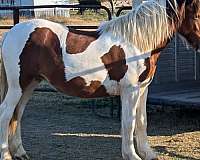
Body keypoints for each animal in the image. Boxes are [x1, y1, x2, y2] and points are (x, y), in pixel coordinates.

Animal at [0, 0, 200, 160]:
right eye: (197, 14)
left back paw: (20, 153)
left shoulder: (143, 89)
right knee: (6, 113)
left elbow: (142, 121)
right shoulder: (130, 90)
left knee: (17, 114)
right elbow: (129, 122)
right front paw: (131, 155)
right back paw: (6, 155)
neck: (136, 43)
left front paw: (148, 154)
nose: (199, 46)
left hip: (30, 84)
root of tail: (10, 33)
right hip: (18, 86)